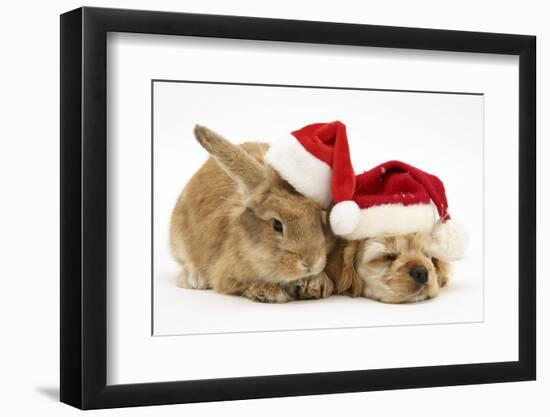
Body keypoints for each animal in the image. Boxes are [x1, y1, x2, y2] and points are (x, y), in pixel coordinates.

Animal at [170, 124, 334, 302]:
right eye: (277, 225)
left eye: (320, 218)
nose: (311, 263)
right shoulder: (226, 274)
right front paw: (270, 292)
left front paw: (315, 285)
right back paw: (194, 278)